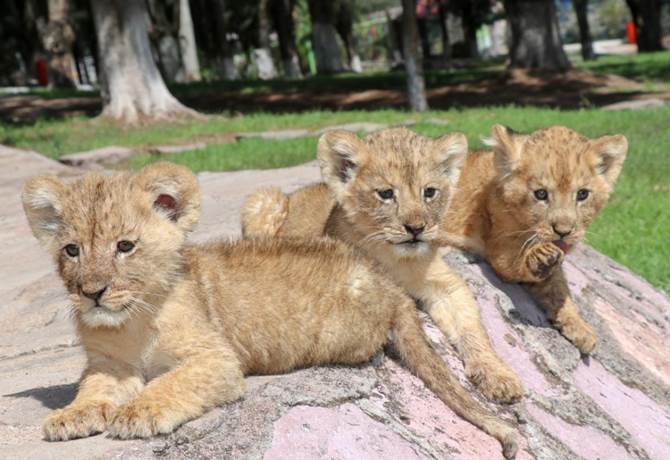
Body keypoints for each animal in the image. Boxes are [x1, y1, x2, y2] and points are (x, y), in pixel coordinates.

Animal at [21, 162, 517, 458]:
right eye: (71, 250)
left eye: (125, 247)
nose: (92, 293)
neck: (134, 320)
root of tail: (386, 282)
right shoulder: (108, 364)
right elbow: (93, 390)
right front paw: (71, 416)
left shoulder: (216, 361)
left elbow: (170, 382)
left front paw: (138, 412)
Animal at [242, 128, 525, 403]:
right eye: (386, 194)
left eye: (429, 192)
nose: (416, 228)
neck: (396, 259)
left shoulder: (447, 285)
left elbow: (473, 329)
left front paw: (498, 376)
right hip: (262, 200)